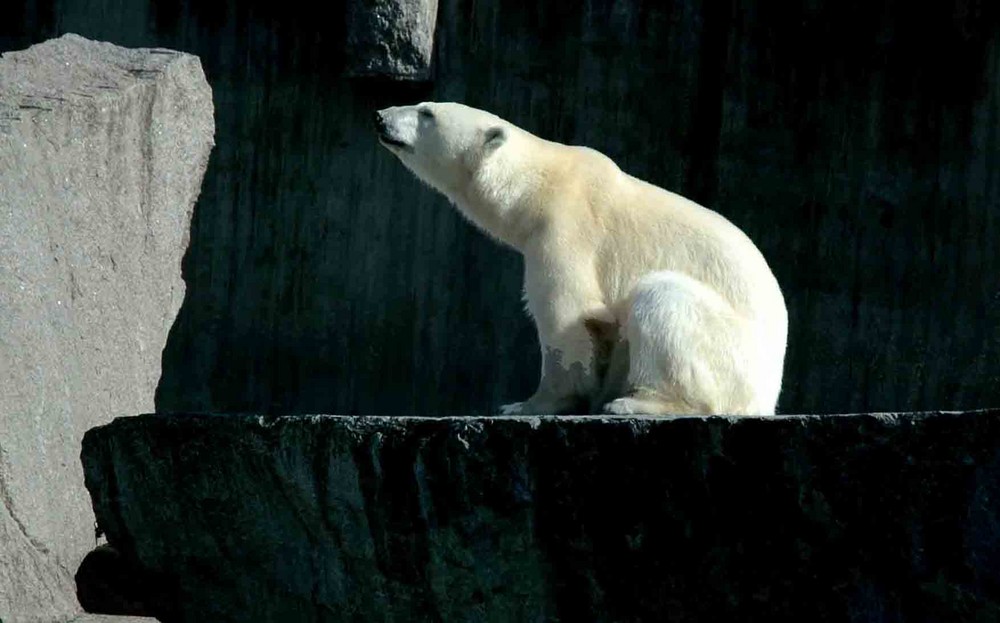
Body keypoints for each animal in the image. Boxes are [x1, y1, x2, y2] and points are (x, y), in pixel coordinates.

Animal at [376, 102, 788, 416]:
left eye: (427, 112)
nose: (381, 116)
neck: (534, 187)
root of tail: (767, 398)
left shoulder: (566, 228)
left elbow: (566, 313)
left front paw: (526, 405)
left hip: (731, 355)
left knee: (662, 297)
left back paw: (636, 403)